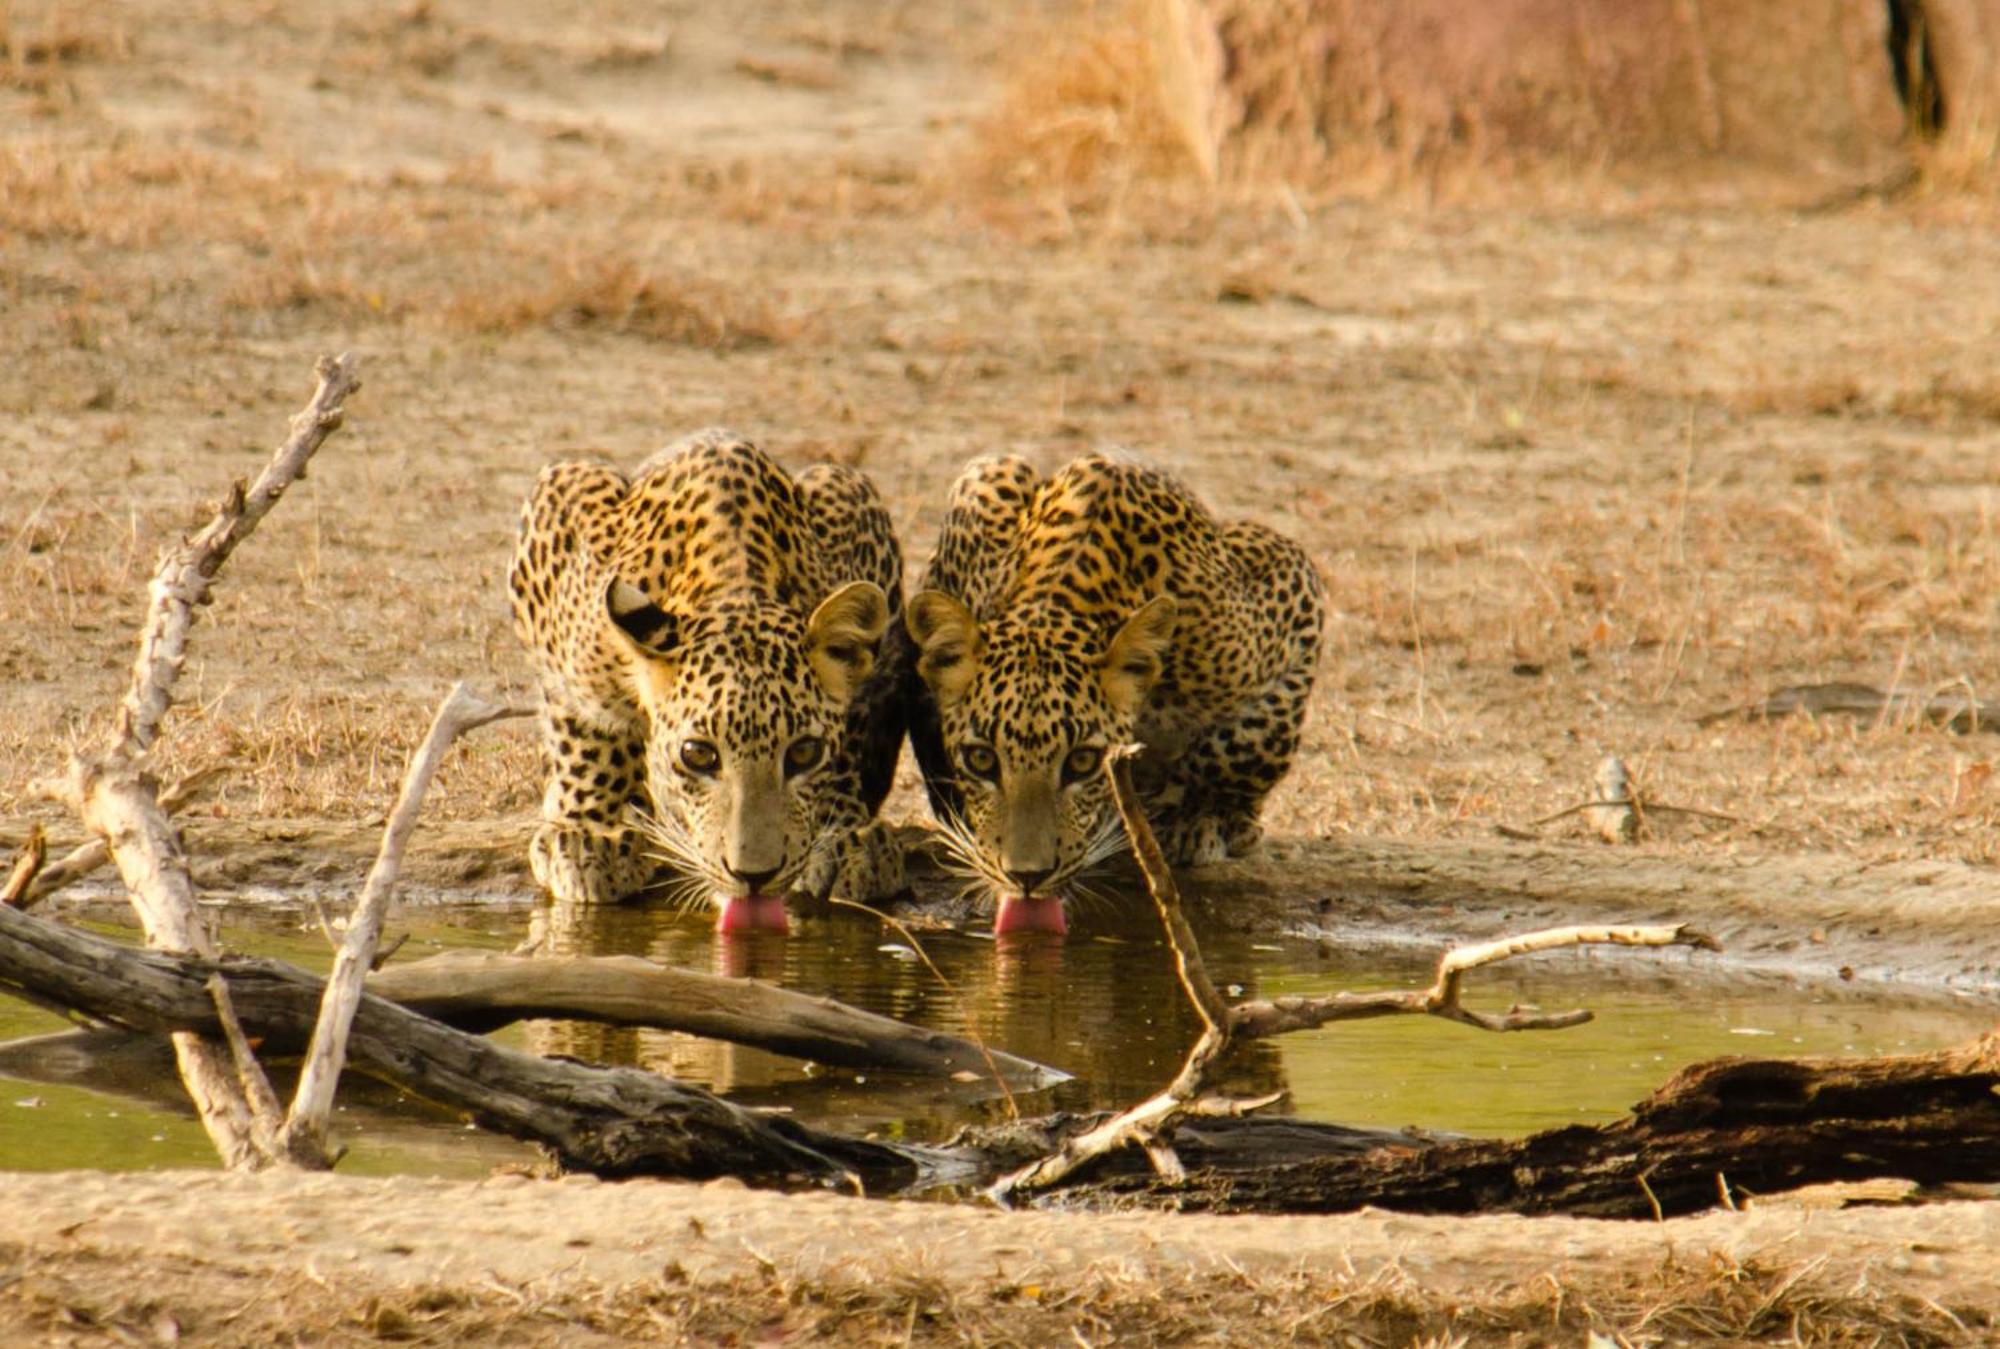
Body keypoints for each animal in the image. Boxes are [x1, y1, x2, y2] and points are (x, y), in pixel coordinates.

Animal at [508, 430, 908, 924]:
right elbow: (586, 722)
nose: (754, 875)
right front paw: (592, 833)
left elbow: (854, 723)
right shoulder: (559, 508)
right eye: (699, 755)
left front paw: (849, 833)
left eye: (804, 753)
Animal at [900, 452, 1320, 936]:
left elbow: (1250, 743)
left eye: (1083, 762)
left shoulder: (1290, 584)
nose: (1027, 877)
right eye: (981, 759)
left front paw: (1201, 817)